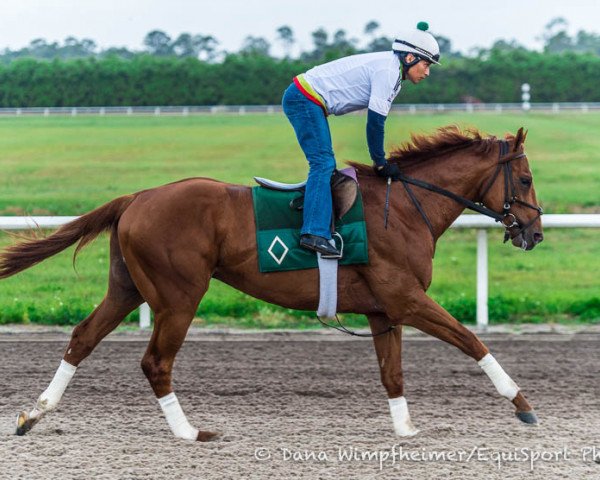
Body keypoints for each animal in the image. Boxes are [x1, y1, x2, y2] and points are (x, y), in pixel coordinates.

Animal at [1, 125, 544, 440]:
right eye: (525, 179)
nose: (535, 233)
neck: (406, 208)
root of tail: (135, 197)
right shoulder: (407, 299)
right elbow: (472, 340)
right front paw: (522, 404)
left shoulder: (382, 310)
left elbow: (392, 373)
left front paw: (406, 429)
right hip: (179, 296)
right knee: (155, 361)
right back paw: (189, 432)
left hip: (127, 289)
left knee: (82, 338)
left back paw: (34, 414)